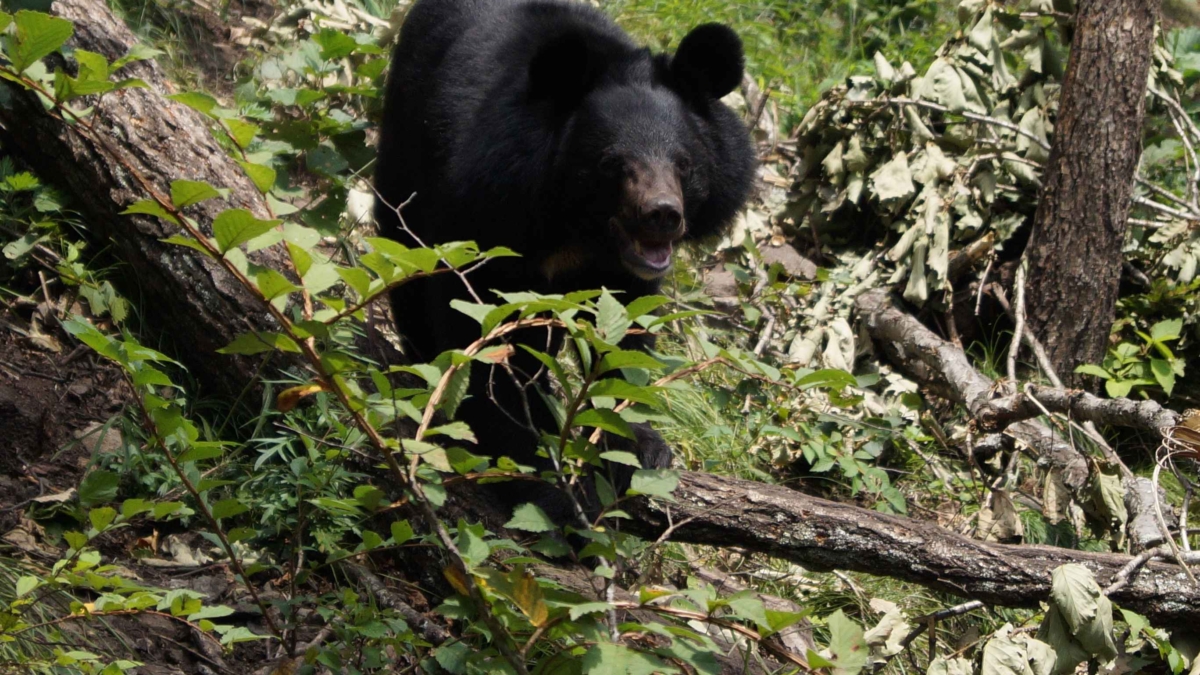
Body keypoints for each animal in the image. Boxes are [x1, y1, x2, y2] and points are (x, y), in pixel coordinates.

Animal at [374, 0, 753, 516]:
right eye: (613, 164)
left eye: (684, 164)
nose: (662, 215)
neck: (576, 228)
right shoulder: (482, 211)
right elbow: (481, 335)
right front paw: (541, 481)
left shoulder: (622, 273)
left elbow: (625, 336)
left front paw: (637, 445)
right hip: (405, 144)